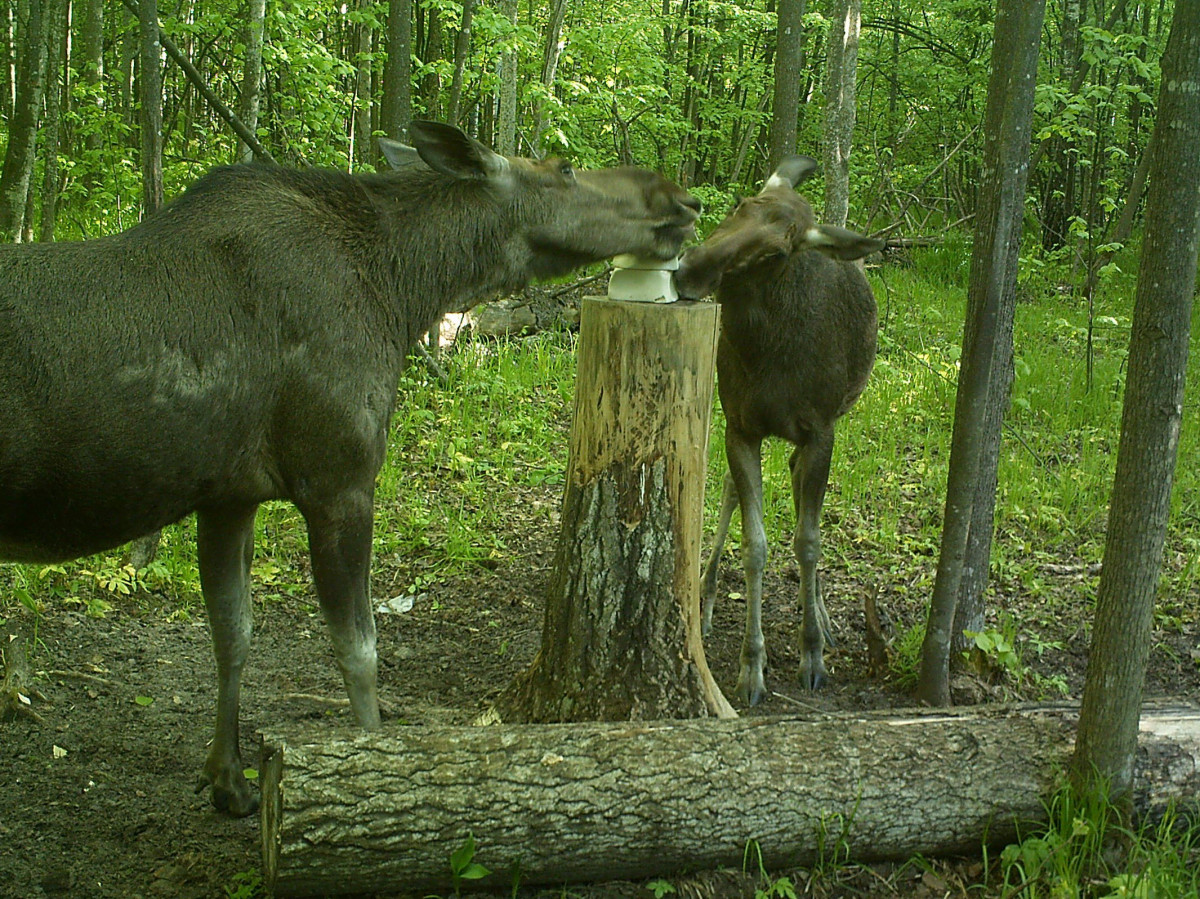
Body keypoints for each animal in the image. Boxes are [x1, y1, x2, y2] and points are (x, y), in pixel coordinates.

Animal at [0, 123, 700, 816]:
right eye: (564, 169)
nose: (681, 198)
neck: (402, 293)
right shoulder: (339, 480)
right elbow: (358, 650)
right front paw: (370, 774)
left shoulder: (229, 495)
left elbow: (232, 633)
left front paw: (229, 779)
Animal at [676, 152, 883, 700]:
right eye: (739, 204)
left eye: (775, 252)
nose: (692, 268)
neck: (767, 354)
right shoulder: (740, 426)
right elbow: (756, 545)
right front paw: (752, 664)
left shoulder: (820, 429)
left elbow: (807, 541)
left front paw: (811, 654)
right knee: (740, 487)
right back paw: (705, 595)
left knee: (798, 489)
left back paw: (823, 617)